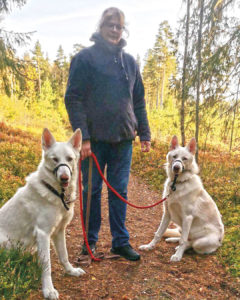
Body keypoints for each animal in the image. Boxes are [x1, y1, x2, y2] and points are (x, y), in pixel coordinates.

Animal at [0, 127, 85, 298]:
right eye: (55, 159)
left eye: (70, 159)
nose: (64, 178)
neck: (56, 193)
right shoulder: (43, 234)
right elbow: (47, 266)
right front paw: (48, 290)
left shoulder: (59, 231)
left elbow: (64, 255)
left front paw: (71, 271)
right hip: (5, 242)